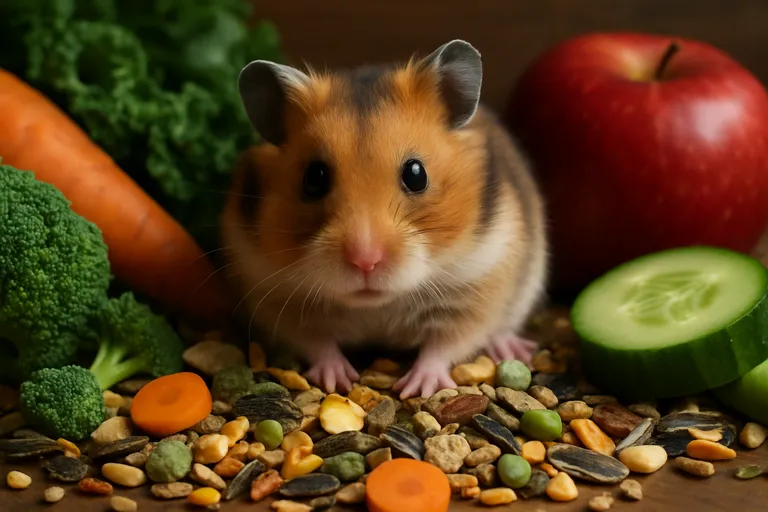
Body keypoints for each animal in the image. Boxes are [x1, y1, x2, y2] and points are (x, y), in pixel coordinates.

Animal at [221, 39, 548, 398]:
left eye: (416, 174)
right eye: (313, 179)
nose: (366, 262)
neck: (375, 306)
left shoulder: (478, 286)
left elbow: (444, 345)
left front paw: (418, 388)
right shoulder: (279, 300)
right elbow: (318, 342)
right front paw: (338, 380)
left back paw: (513, 349)